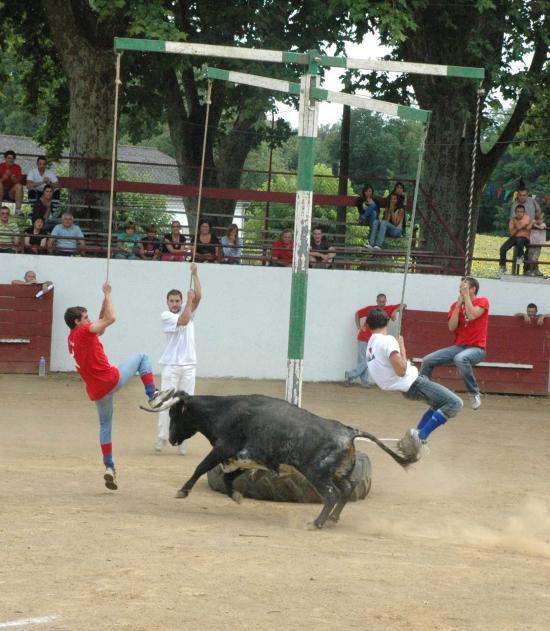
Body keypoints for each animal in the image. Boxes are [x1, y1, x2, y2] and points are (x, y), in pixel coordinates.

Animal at [148, 392, 414, 532]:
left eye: (174, 414)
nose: (171, 439)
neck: (224, 411)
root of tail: (348, 431)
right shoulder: (244, 459)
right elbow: (228, 478)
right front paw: (236, 496)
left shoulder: (224, 449)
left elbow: (201, 467)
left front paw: (182, 491)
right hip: (338, 472)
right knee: (347, 489)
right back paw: (333, 519)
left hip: (317, 473)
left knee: (331, 494)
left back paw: (316, 522)